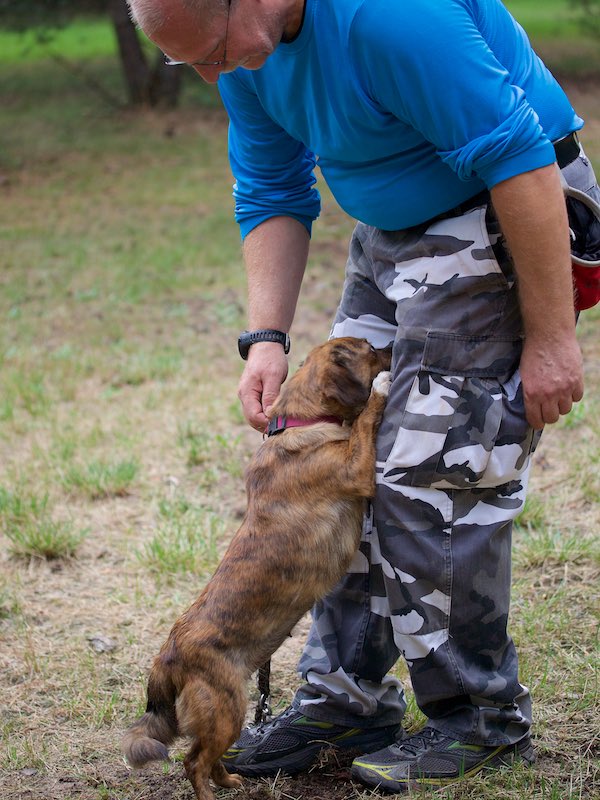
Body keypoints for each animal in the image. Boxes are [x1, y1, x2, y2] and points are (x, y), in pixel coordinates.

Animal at [122, 336, 392, 800]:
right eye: (371, 349)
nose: (395, 346)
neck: (302, 419)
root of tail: (167, 658)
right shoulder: (357, 468)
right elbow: (365, 420)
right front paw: (382, 387)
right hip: (227, 709)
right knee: (194, 762)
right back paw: (211, 793)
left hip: (228, 711)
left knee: (206, 758)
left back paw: (230, 779)